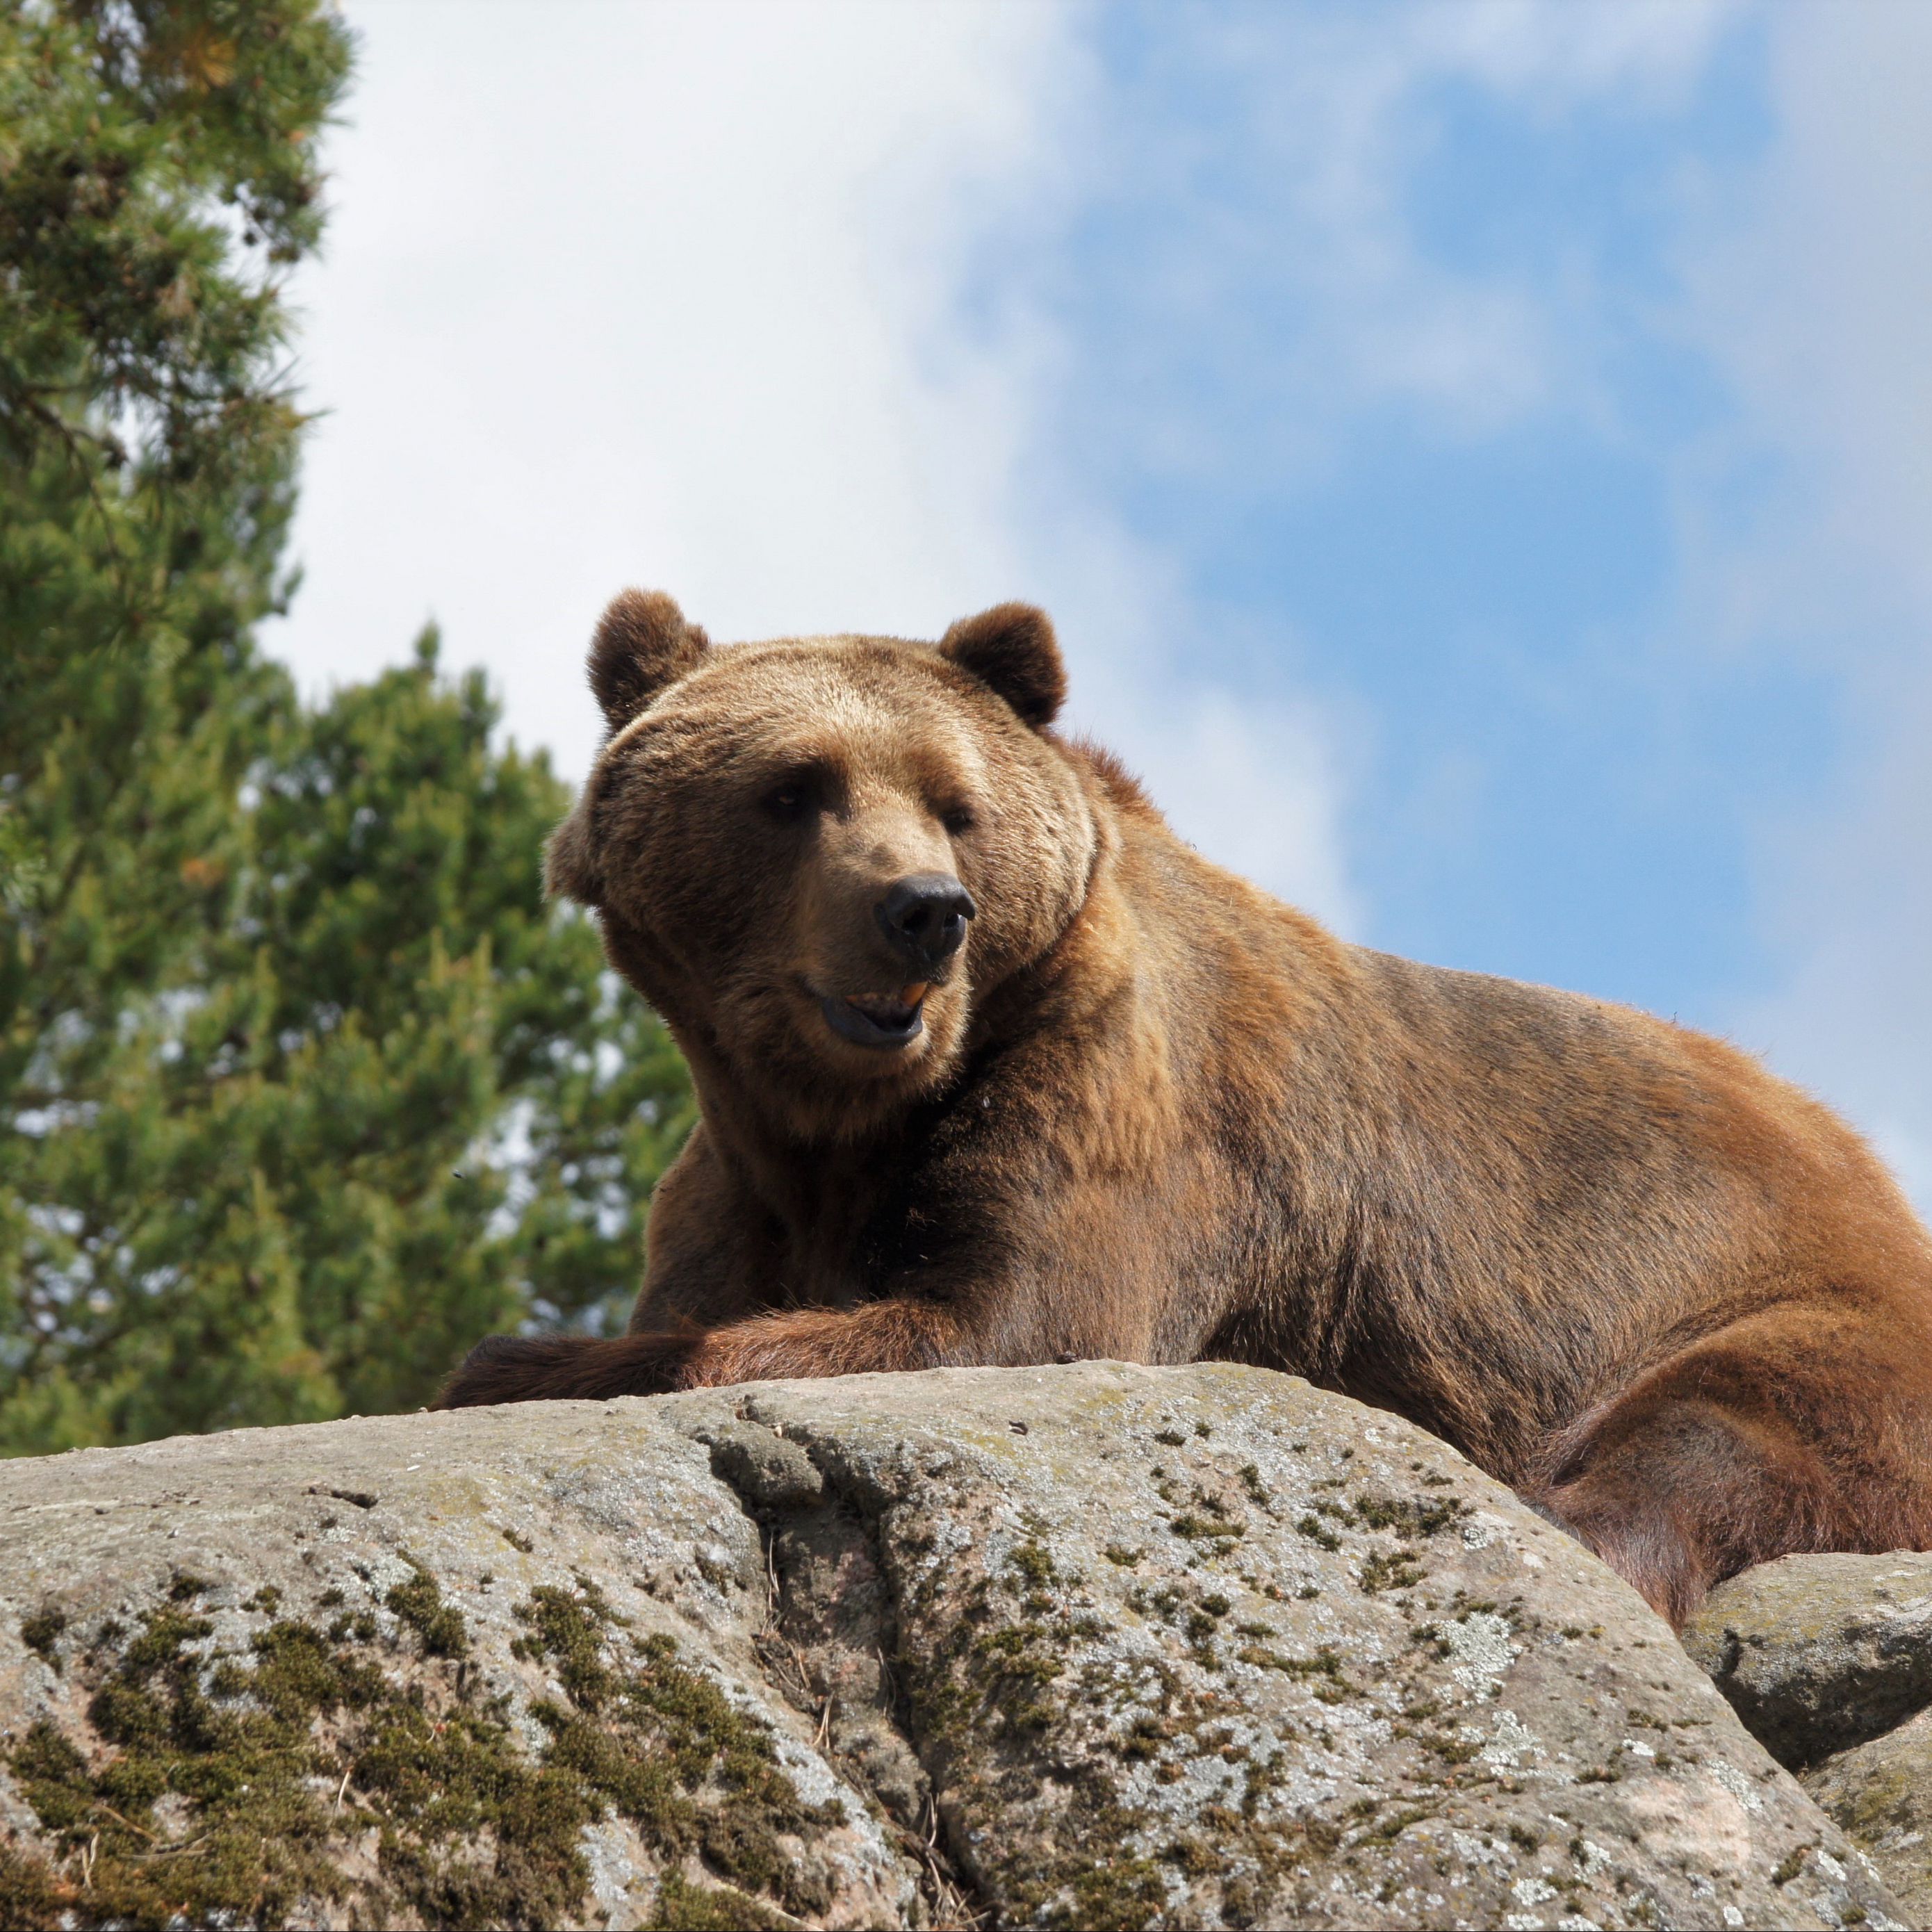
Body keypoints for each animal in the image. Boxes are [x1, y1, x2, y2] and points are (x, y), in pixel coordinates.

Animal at [444, 591, 1932, 1630]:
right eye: (795, 785)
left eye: (954, 802)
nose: (923, 912)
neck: (845, 1124)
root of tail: (1873, 1173)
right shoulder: (736, 1182)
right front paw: (529, 1355)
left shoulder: (1118, 1099)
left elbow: (1008, 1318)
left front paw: (521, 1360)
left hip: (1779, 1300)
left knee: (1719, 1427)